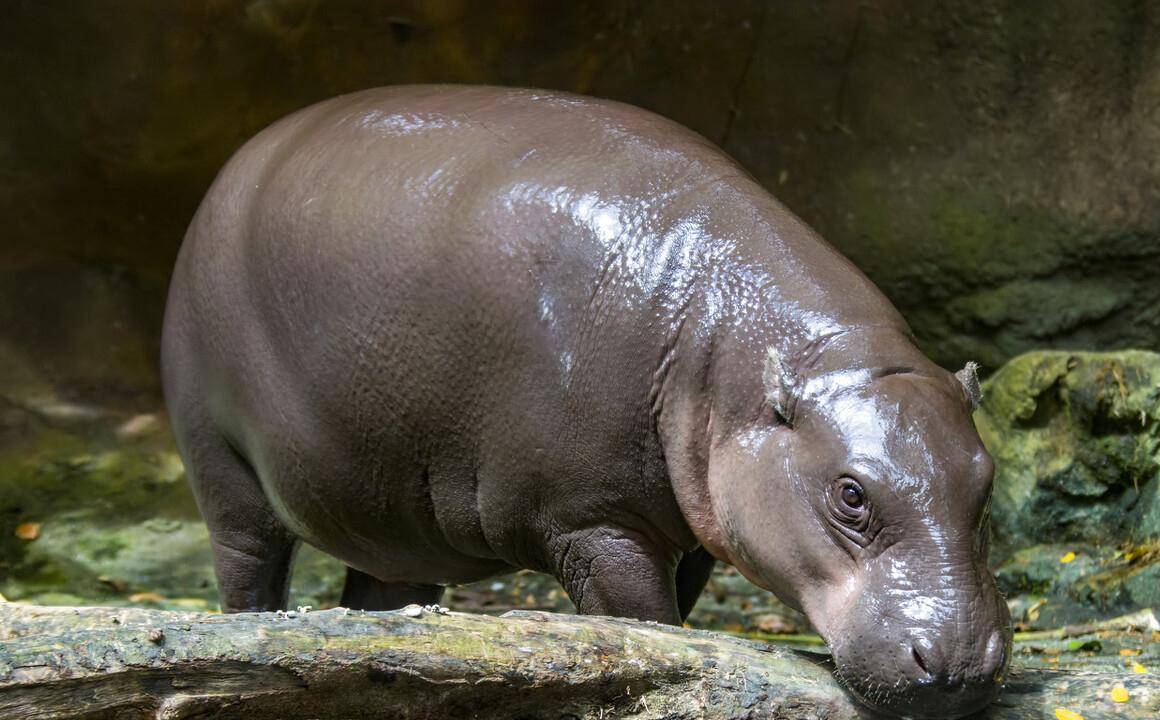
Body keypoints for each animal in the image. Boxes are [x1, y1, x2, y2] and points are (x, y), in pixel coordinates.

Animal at [161, 86, 1006, 714]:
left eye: (988, 479)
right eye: (851, 495)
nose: (962, 665)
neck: (721, 343)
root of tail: (237, 164)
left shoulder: (687, 526)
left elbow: (682, 617)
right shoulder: (594, 521)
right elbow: (647, 625)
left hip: (394, 511)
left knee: (384, 591)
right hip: (222, 462)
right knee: (248, 565)